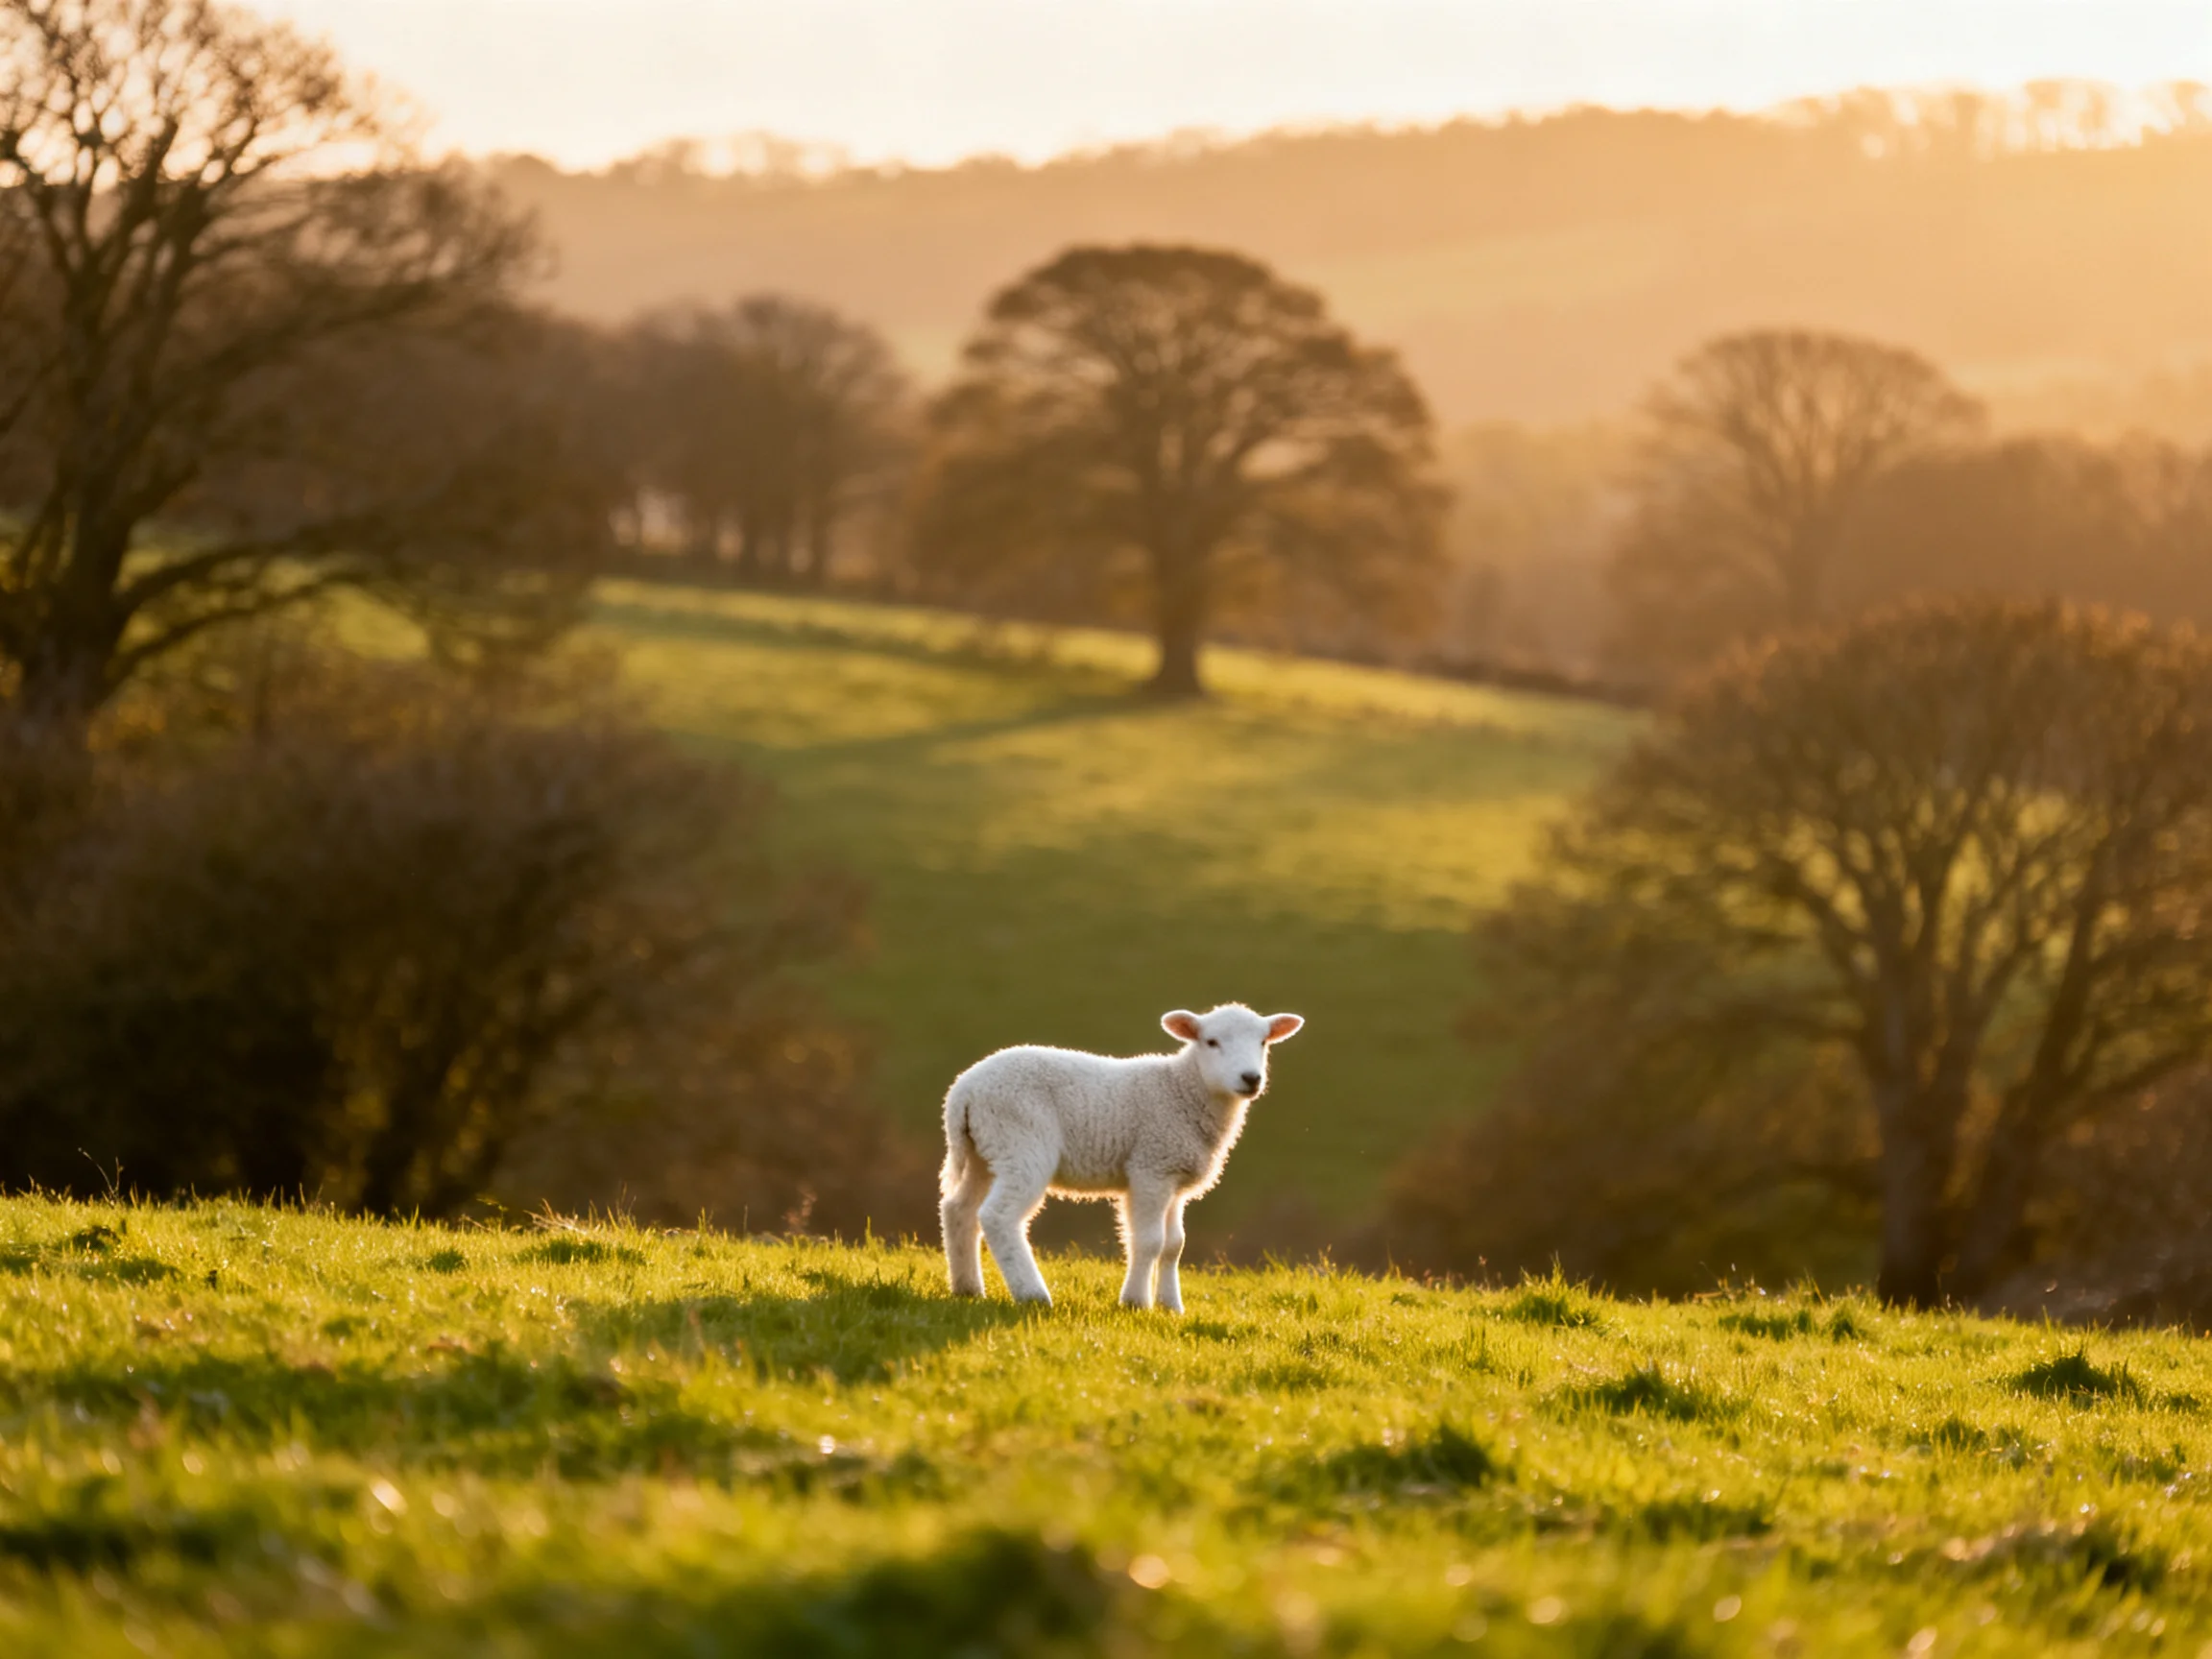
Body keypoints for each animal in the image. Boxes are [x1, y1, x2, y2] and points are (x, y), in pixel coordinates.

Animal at [939, 1003, 1304, 1310]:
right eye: (1211, 1041)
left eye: (1263, 1042)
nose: (1251, 1078)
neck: (1183, 1089)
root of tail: (962, 1091)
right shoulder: (1151, 1167)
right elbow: (1150, 1241)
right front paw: (1136, 1302)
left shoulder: (1174, 1177)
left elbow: (1174, 1244)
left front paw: (1171, 1307)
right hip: (1021, 1140)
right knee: (998, 1216)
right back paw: (1033, 1294)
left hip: (984, 1150)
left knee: (959, 1209)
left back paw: (967, 1288)